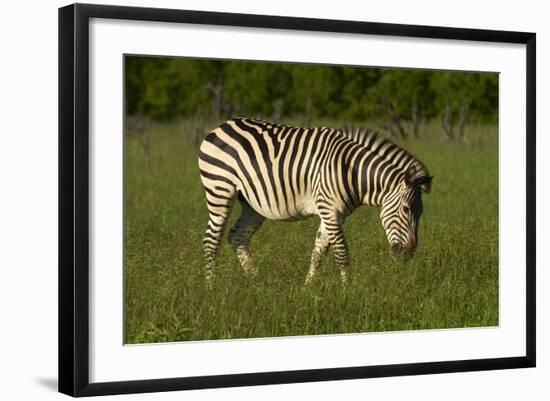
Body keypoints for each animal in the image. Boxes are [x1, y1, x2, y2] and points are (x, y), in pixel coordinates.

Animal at [198, 116, 436, 284]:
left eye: (421, 213)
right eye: (406, 209)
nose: (408, 254)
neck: (352, 171)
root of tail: (222, 125)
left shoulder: (334, 214)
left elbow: (319, 251)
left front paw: (308, 288)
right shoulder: (330, 211)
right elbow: (341, 252)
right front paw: (348, 291)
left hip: (252, 204)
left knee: (237, 236)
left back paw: (256, 280)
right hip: (220, 190)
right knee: (211, 239)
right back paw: (212, 286)